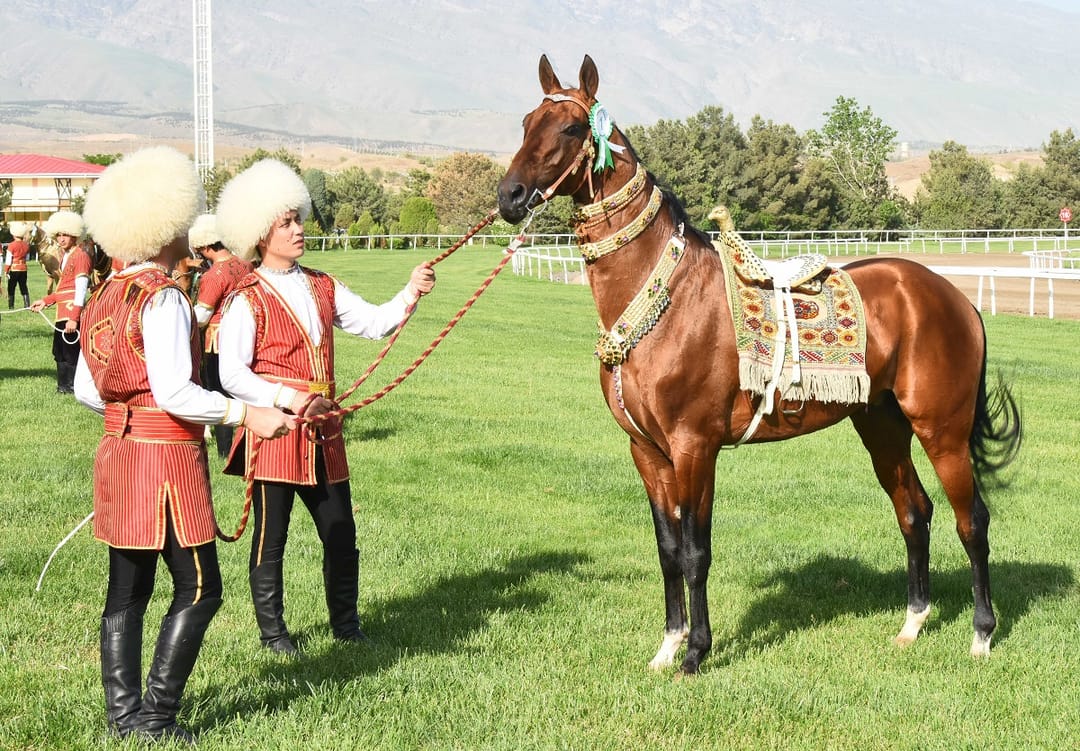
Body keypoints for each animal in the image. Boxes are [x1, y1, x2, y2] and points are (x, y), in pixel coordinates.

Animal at [496, 55, 1022, 675]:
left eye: (572, 128)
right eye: (527, 121)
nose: (509, 195)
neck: (667, 296)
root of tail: (955, 297)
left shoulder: (694, 448)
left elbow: (696, 551)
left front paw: (696, 653)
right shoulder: (647, 453)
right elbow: (667, 550)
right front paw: (667, 647)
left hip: (942, 430)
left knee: (973, 521)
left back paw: (982, 635)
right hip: (882, 427)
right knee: (914, 513)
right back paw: (912, 625)